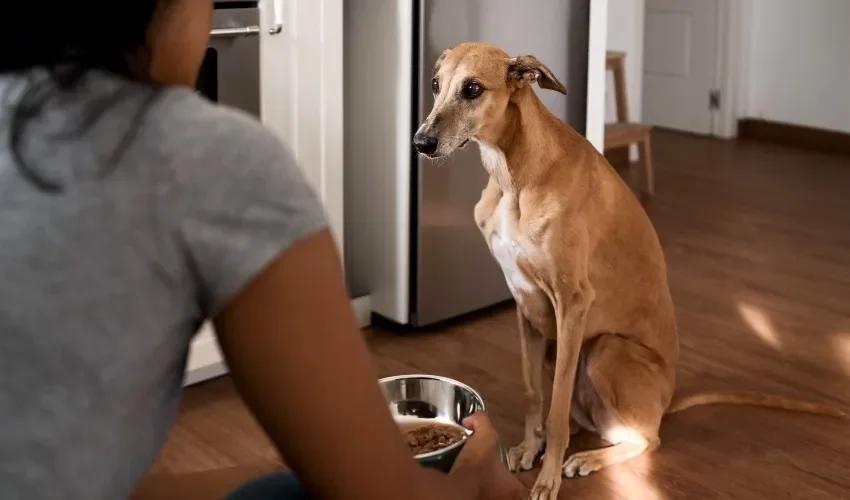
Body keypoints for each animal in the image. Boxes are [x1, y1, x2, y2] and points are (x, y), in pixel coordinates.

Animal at [412, 43, 840, 500]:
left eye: (473, 88)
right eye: (435, 85)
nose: (420, 142)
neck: (515, 173)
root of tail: (667, 400)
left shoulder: (573, 304)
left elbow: (556, 408)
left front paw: (547, 478)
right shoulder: (525, 307)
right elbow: (533, 395)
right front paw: (530, 446)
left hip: (606, 349)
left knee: (645, 438)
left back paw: (587, 458)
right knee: (601, 424)